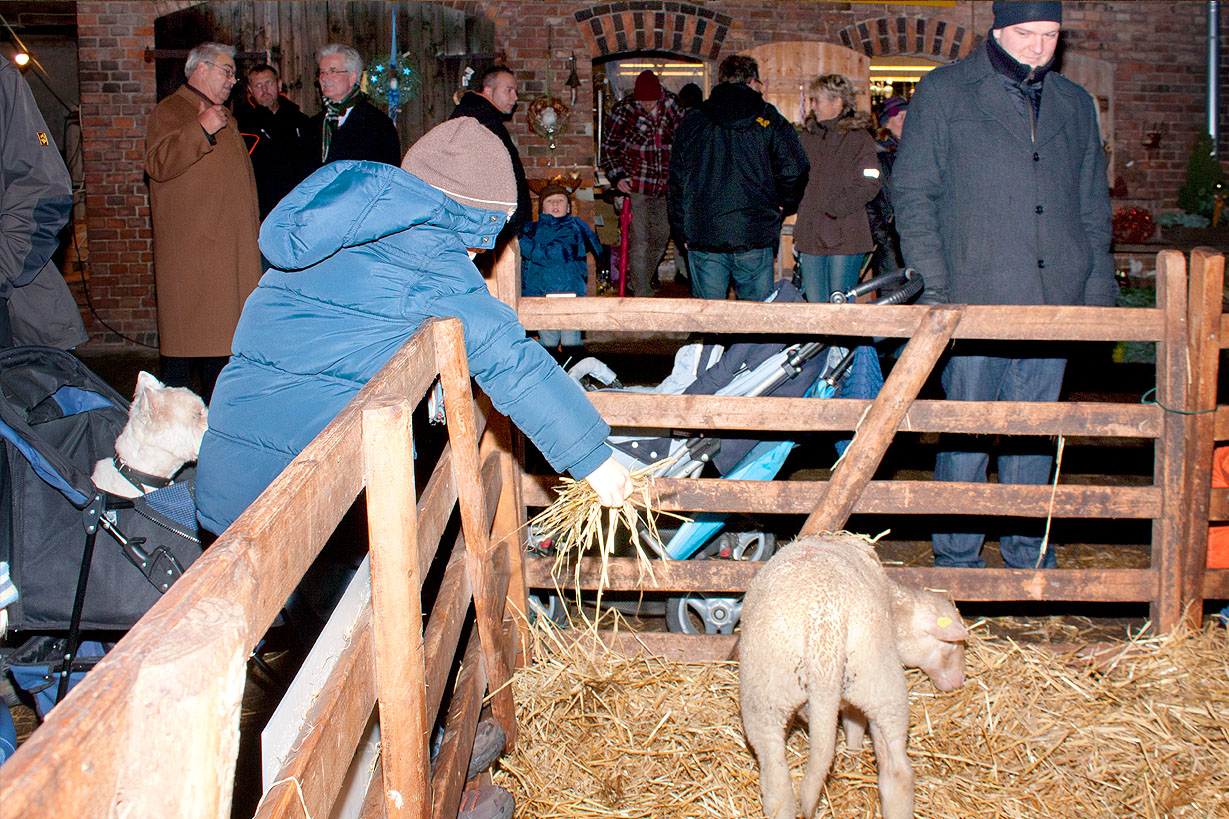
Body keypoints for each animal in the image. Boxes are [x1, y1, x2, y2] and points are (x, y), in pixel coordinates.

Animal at [737, 533, 968, 811]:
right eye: (950, 646)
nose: (959, 681)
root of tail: (825, 627)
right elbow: (854, 724)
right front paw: (854, 753)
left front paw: (852, 755)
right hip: (879, 685)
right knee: (897, 772)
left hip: (770, 695)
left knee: (777, 780)